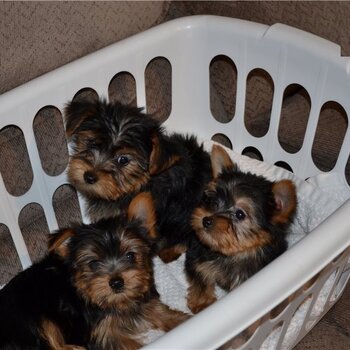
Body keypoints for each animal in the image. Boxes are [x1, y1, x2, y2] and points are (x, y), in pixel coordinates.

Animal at [0, 193, 189, 348]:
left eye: (130, 255)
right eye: (93, 263)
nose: (117, 282)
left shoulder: (143, 301)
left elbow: (161, 311)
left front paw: (184, 320)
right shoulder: (104, 335)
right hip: (31, 320)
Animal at [185, 144, 296, 314]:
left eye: (240, 214)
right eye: (214, 202)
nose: (206, 220)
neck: (235, 254)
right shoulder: (198, 254)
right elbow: (200, 277)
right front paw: (202, 303)